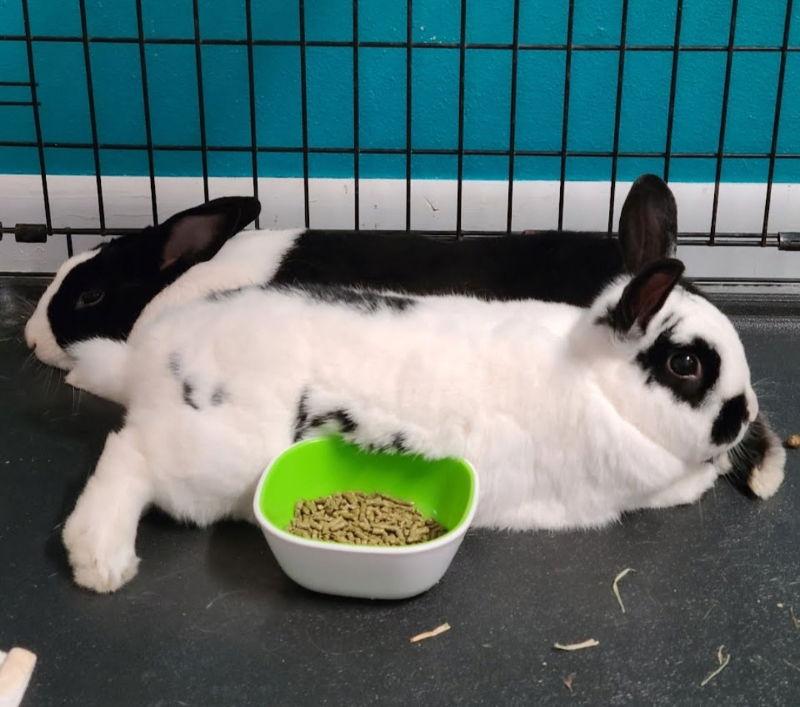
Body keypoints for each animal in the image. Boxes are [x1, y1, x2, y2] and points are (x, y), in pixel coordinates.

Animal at [61, 257, 772, 594]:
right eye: (686, 364)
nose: (745, 414)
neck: (598, 383)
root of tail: (150, 359)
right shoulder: (632, 488)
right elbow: (680, 488)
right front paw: (714, 475)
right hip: (205, 460)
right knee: (127, 455)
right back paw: (99, 559)